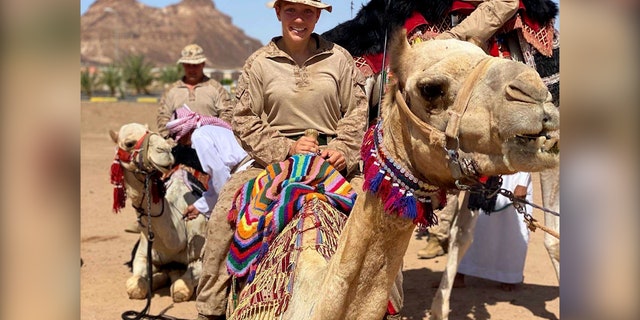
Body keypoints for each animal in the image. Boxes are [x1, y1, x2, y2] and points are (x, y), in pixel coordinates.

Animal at [109, 122, 206, 302]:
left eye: (151, 132)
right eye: (129, 143)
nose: (165, 150)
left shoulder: (199, 256)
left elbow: (179, 288)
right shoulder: (143, 254)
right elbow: (135, 287)